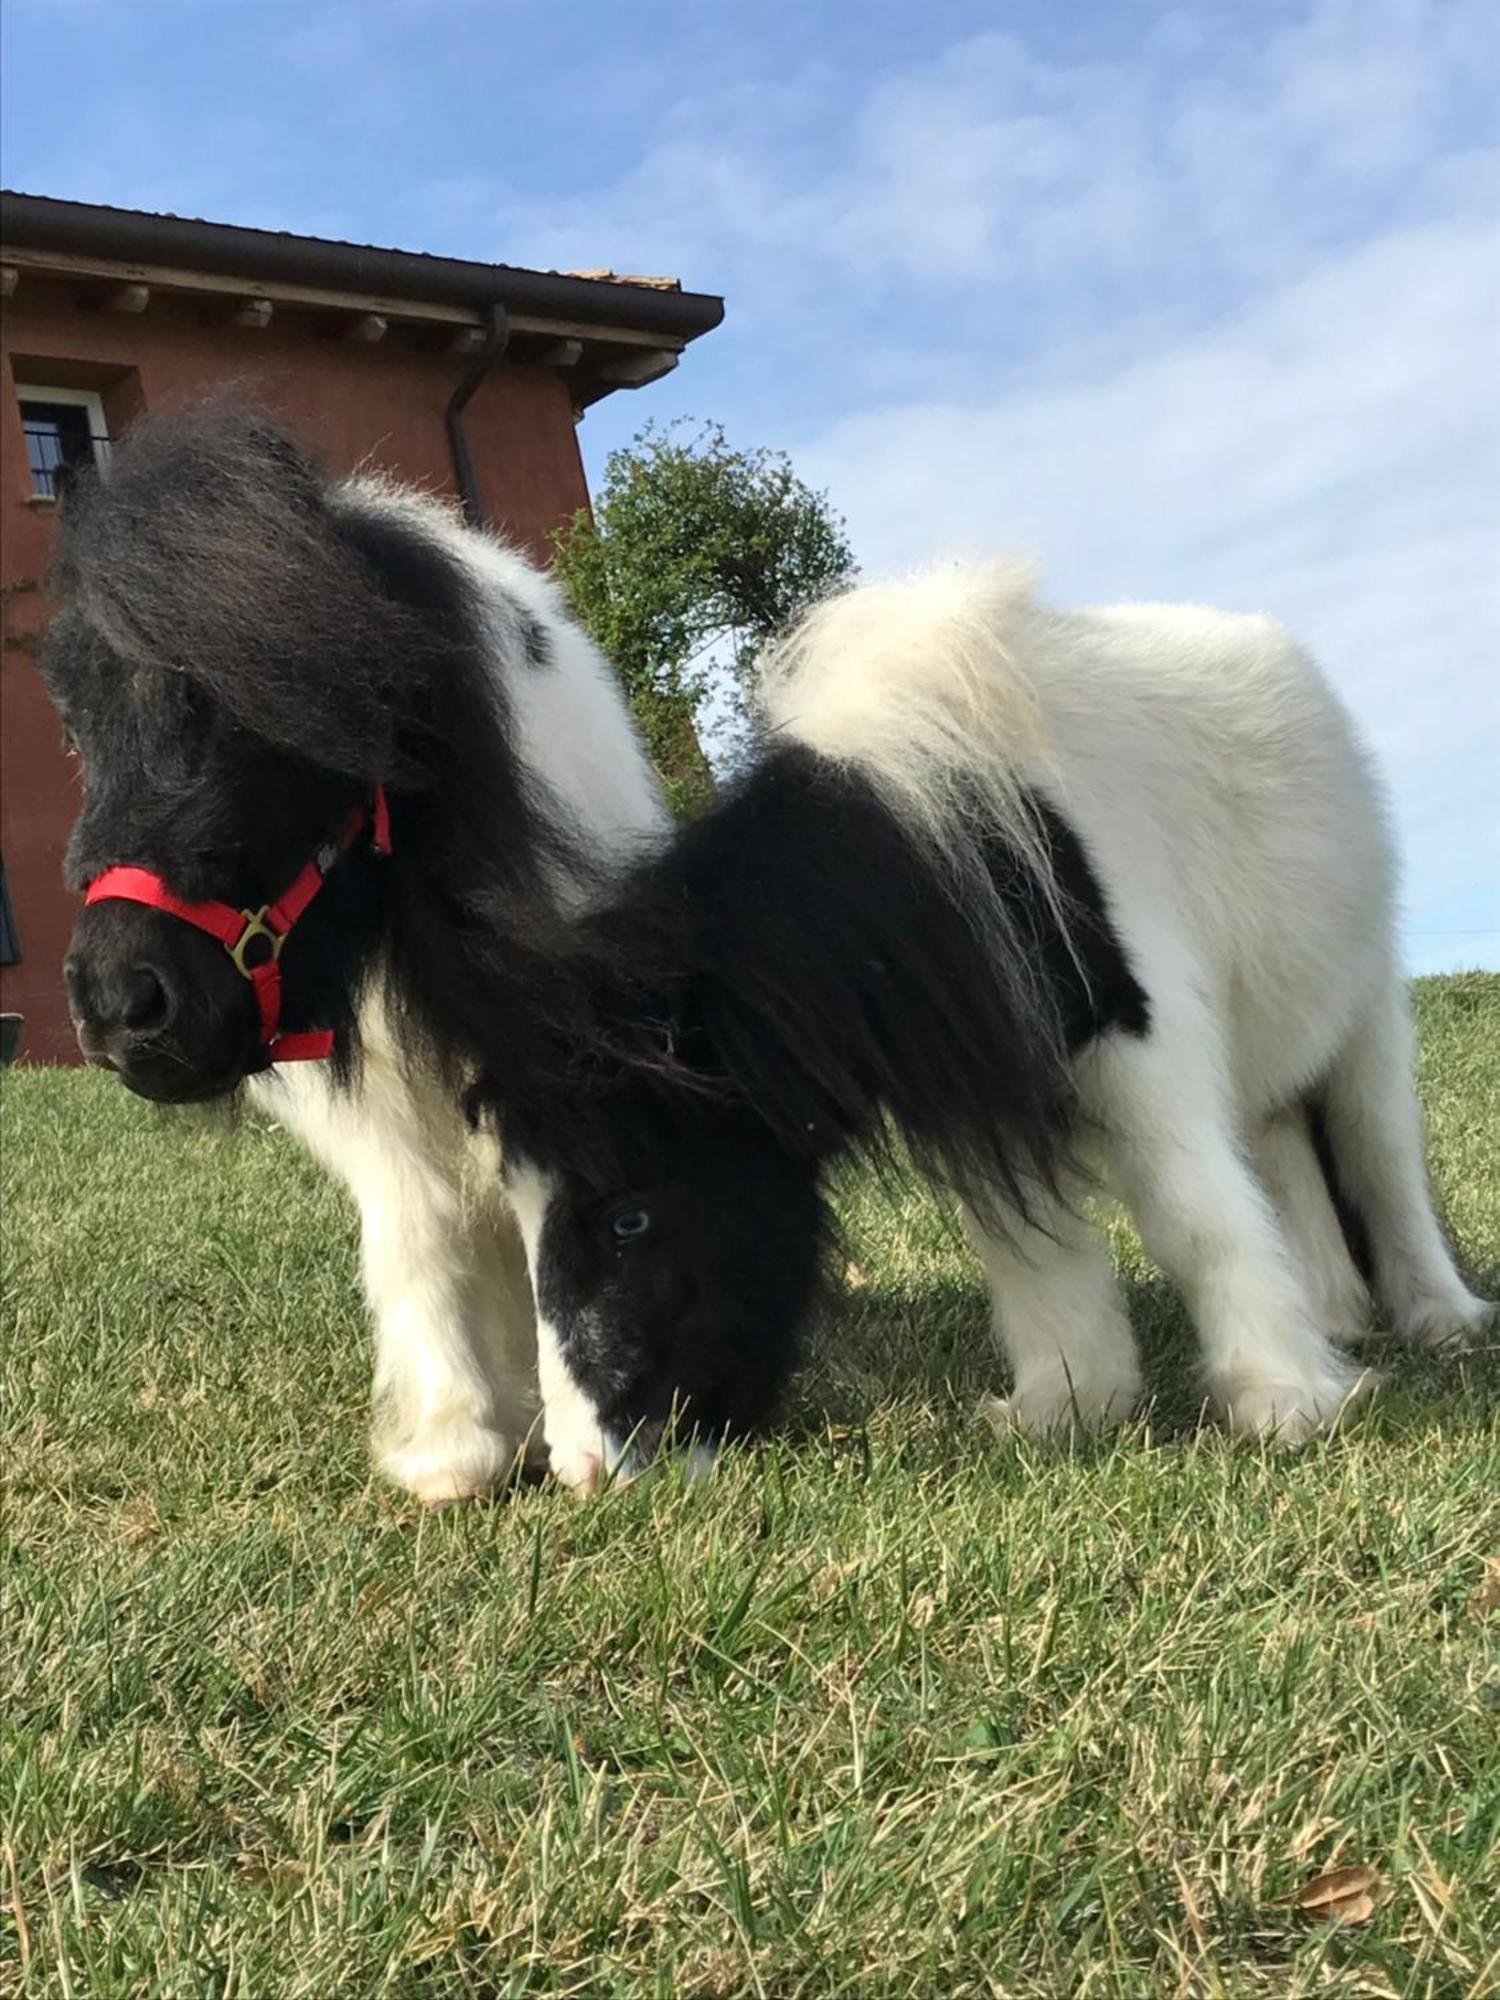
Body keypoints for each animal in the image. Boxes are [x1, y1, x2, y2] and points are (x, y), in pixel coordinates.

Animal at [41, 402, 668, 1504]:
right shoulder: (375, 1106)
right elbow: (416, 1231)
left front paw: (594, 1439)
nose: (120, 1007)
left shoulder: (544, 1045)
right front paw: (457, 1443)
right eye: (77, 731)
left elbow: (555, 1209)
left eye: (266, 713)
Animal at [476, 560, 1496, 1488]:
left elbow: (1190, 1217)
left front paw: (1282, 1398)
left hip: (1366, 1019)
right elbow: (1033, 1252)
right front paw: (1070, 1402)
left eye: (629, 1218)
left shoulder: (1142, 1050)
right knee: (1284, 1147)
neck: (943, 842)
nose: (583, 1467)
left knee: (1380, 1162)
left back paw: (1438, 1317)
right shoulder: (994, 1087)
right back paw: (1331, 1311)